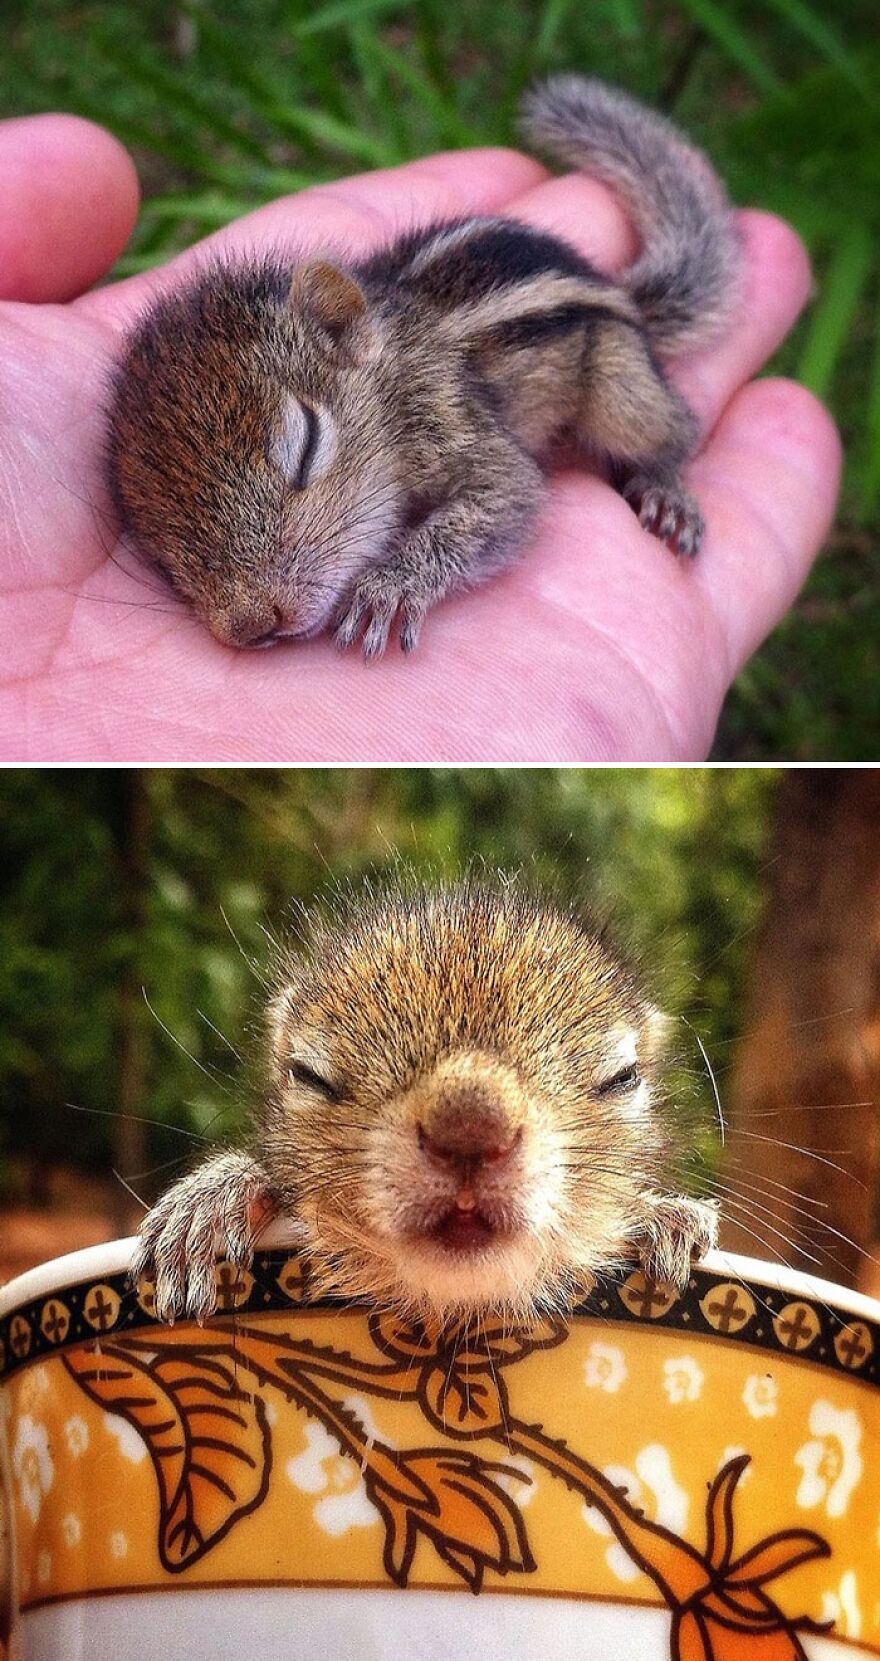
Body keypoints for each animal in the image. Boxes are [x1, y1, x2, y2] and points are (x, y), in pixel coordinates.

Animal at [109, 78, 740, 657]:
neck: (392, 373)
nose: (251, 625)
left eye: (307, 446)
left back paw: (666, 490)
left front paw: (389, 586)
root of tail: (618, 291)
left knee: (672, 431)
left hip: (621, 386)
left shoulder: (453, 423)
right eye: (156, 544)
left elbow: (508, 498)